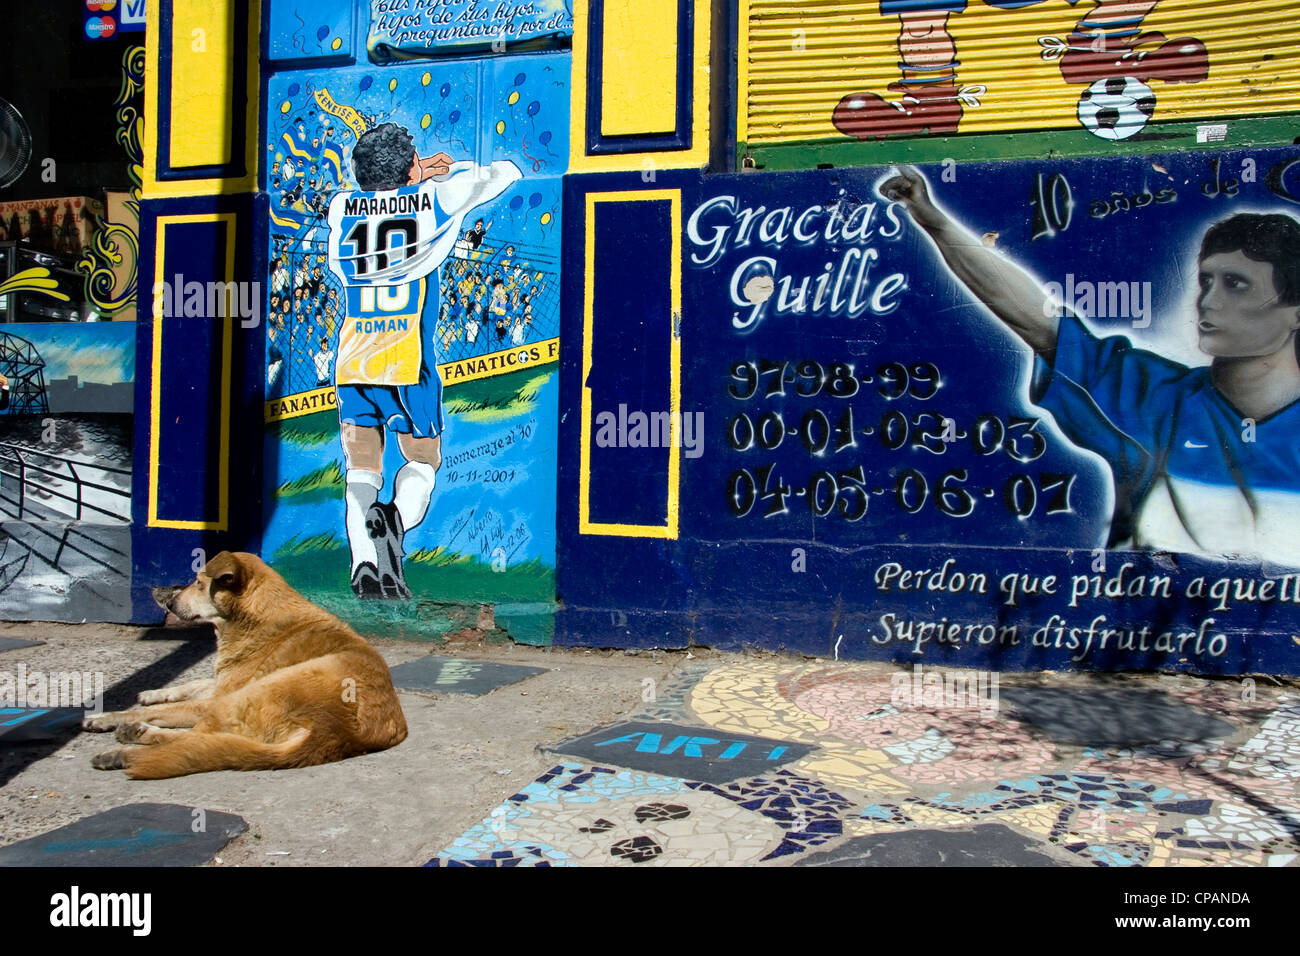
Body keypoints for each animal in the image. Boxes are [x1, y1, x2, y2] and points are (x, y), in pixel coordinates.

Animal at [83, 554, 408, 780]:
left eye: (198, 583)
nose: (170, 603)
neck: (256, 617)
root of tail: (338, 733)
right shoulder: (221, 682)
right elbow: (191, 684)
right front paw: (151, 692)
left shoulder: (220, 695)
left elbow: (161, 710)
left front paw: (106, 716)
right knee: (207, 740)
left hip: (254, 693)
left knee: (196, 739)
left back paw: (125, 748)